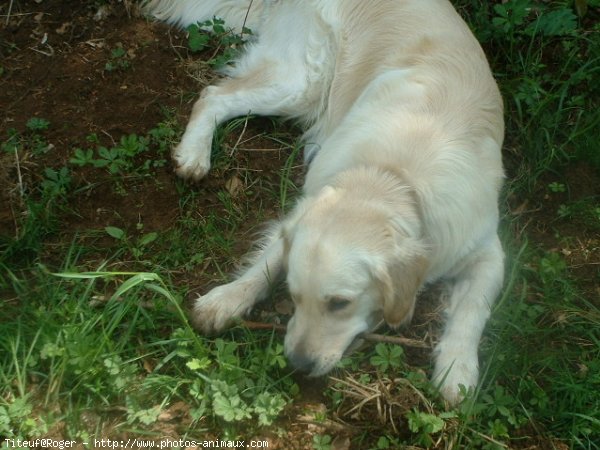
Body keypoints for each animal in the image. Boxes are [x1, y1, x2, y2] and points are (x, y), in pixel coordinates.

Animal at [146, 0, 506, 402]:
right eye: (294, 295)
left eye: (339, 304)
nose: (298, 365)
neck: (391, 178)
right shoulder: (304, 210)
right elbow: (267, 262)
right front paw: (227, 298)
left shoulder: (486, 249)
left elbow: (473, 310)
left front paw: (457, 368)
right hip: (303, 82)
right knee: (214, 95)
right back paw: (194, 155)